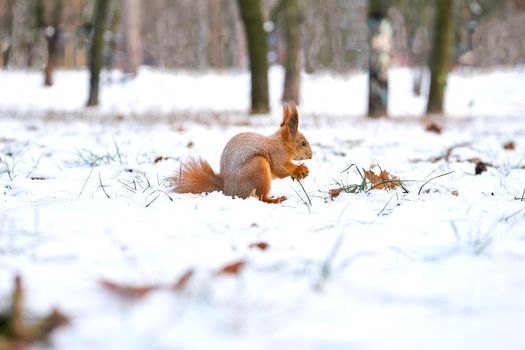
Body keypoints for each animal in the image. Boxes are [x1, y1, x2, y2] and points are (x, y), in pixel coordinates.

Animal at [172, 102, 312, 204]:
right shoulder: (277, 154)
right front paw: (300, 169)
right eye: (303, 143)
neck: (281, 143)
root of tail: (228, 188)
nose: (311, 155)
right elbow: (280, 168)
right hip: (259, 166)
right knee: (261, 197)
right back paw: (276, 200)